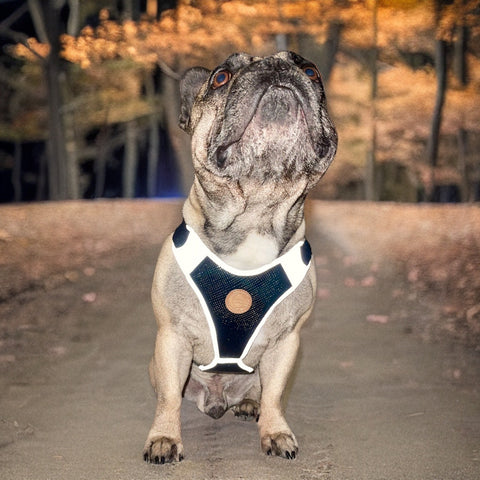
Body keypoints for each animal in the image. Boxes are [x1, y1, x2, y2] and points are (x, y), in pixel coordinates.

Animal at [142, 51, 338, 464]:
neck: (258, 206)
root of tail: (218, 399)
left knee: (259, 391)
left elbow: (276, 394)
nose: (276, 67)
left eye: (310, 70)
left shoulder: (285, 342)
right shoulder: (172, 336)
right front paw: (164, 437)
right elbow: (168, 397)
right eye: (220, 77)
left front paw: (275, 432)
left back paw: (249, 405)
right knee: (173, 392)